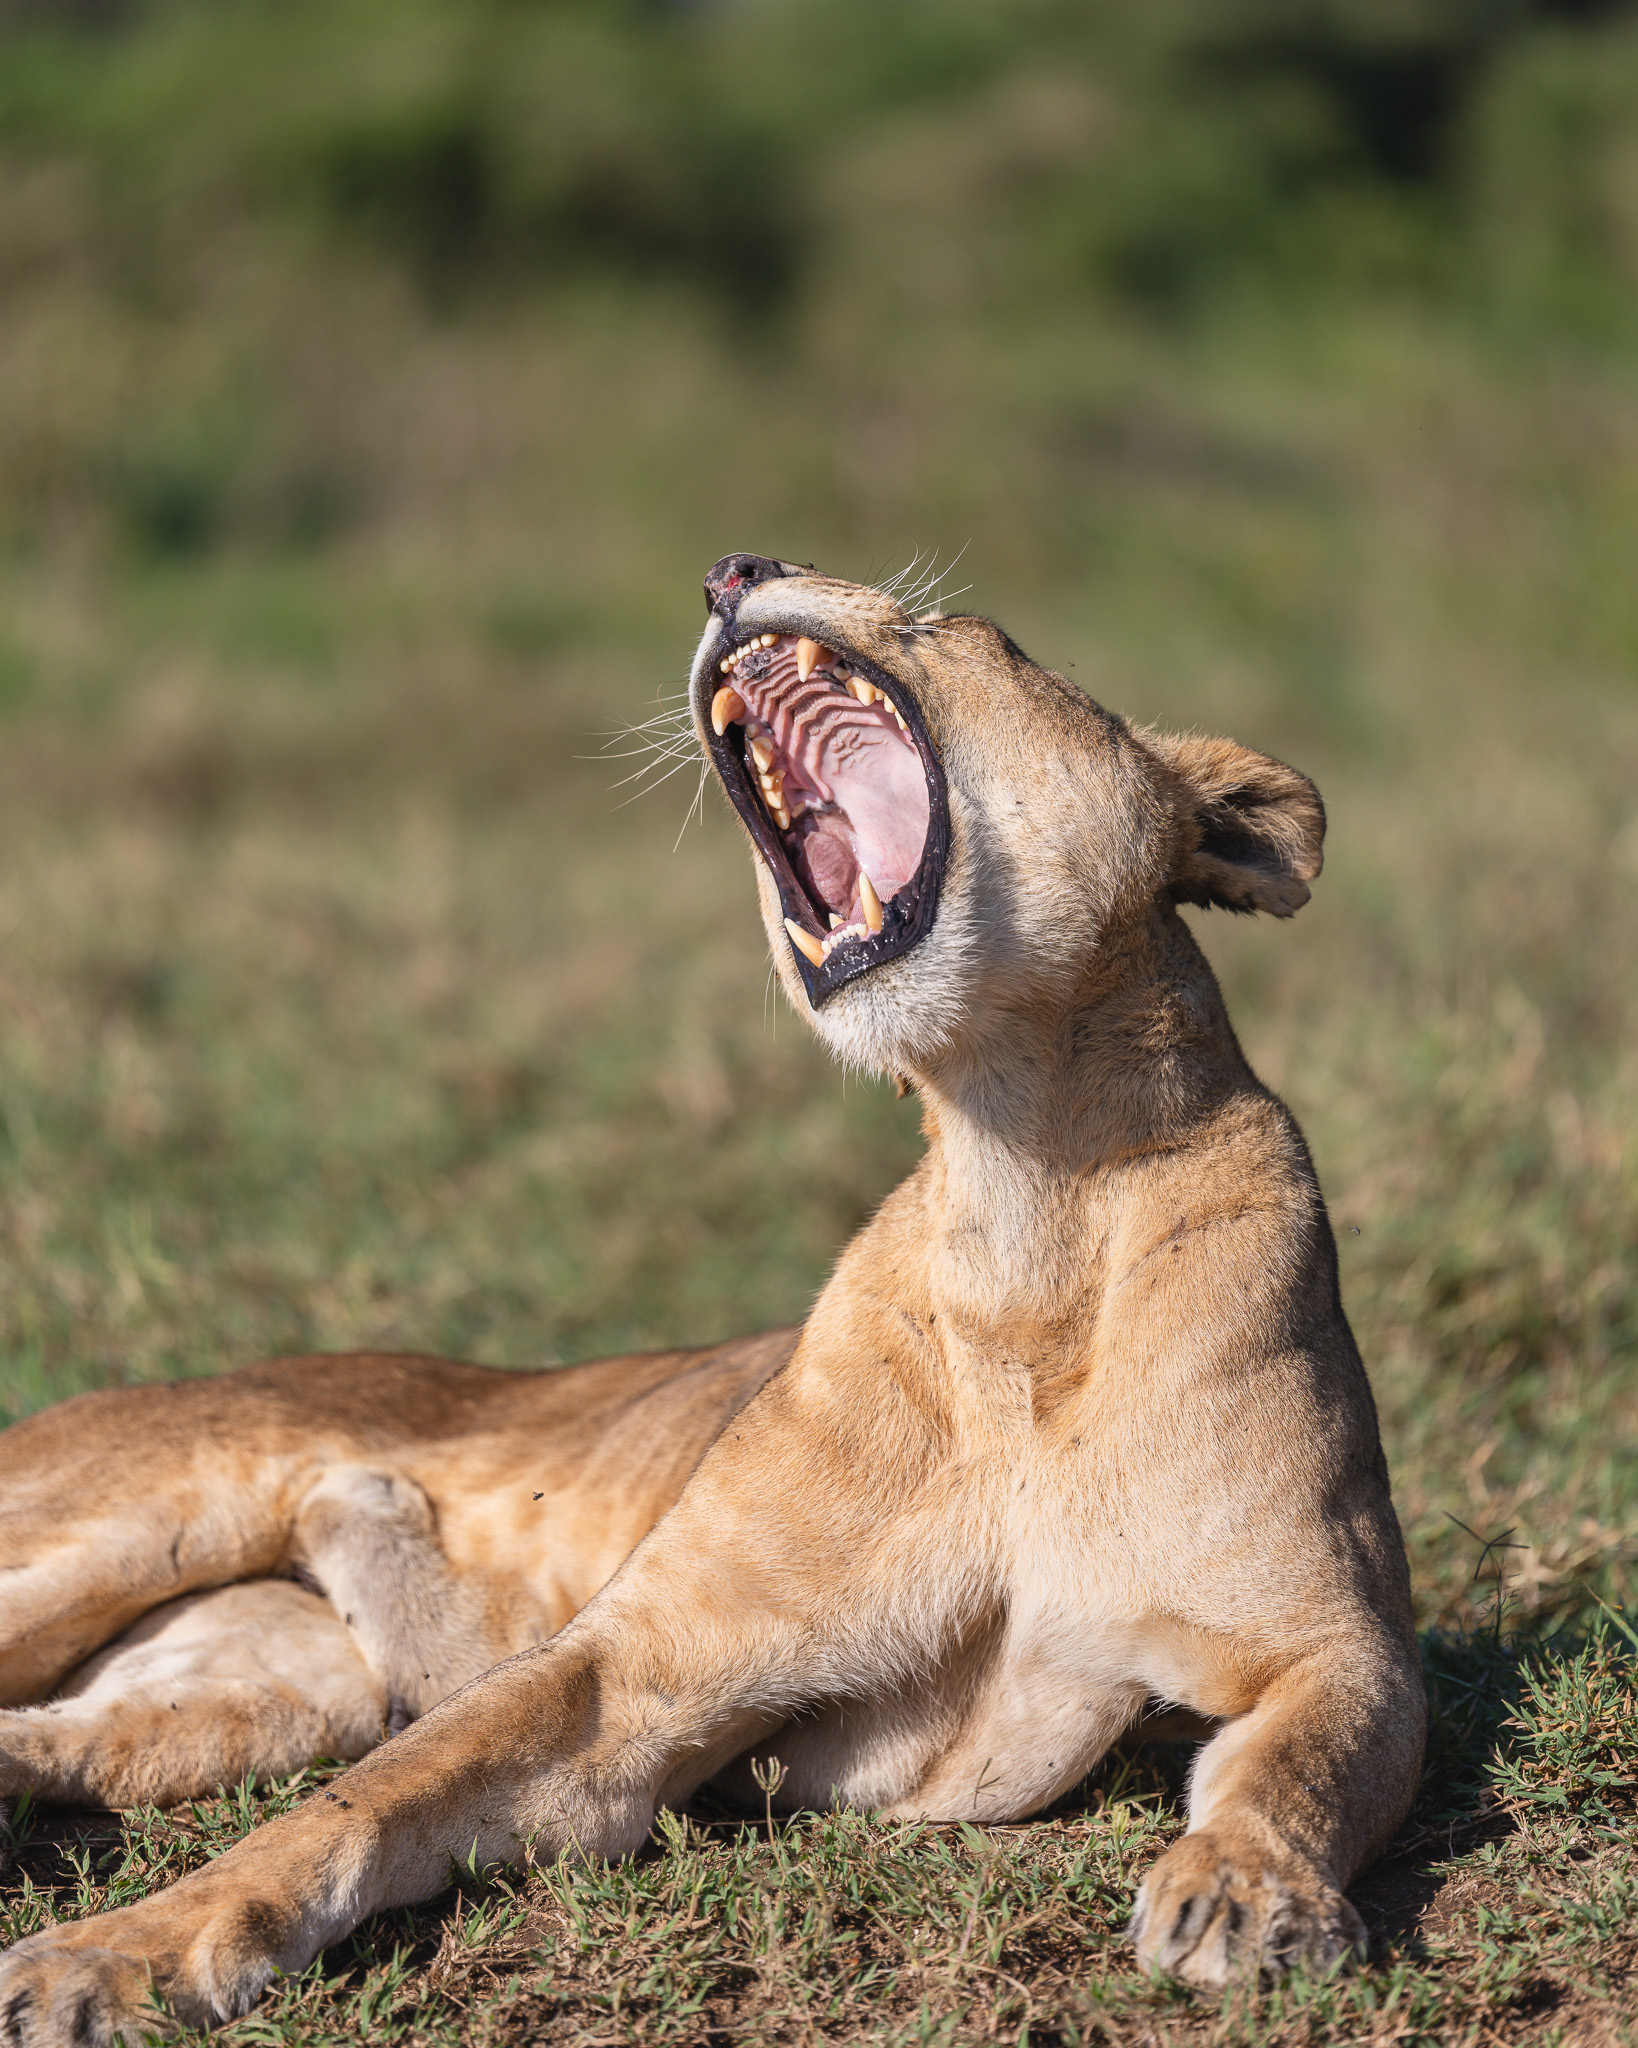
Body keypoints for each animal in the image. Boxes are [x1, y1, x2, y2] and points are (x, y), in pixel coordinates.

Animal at [0, 555, 1424, 2043]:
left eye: (974, 629)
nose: (735, 569)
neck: (1024, 1200)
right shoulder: (636, 1672)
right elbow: (358, 1803)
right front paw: (110, 1954)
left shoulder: (1336, 1636)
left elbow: (1305, 1759)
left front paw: (1244, 1891)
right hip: (137, 1524)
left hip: (281, 1688)